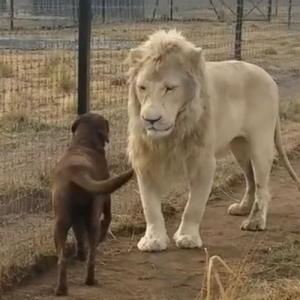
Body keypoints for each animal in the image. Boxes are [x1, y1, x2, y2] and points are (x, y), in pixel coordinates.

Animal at [51, 112, 134, 296]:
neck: (83, 143)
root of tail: (77, 172)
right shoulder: (106, 196)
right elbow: (108, 217)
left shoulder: (77, 218)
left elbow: (79, 235)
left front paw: (80, 254)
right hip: (93, 215)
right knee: (92, 254)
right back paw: (90, 279)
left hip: (61, 222)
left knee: (62, 259)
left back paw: (62, 288)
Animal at [125, 29, 300, 251]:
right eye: (142, 87)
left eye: (170, 88)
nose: (150, 119)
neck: (173, 133)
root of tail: (267, 76)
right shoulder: (145, 161)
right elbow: (150, 206)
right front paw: (153, 240)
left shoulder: (204, 162)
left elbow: (194, 206)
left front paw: (188, 237)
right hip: (239, 148)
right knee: (250, 179)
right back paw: (243, 208)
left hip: (260, 144)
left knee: (262, 186)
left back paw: (255, 221)